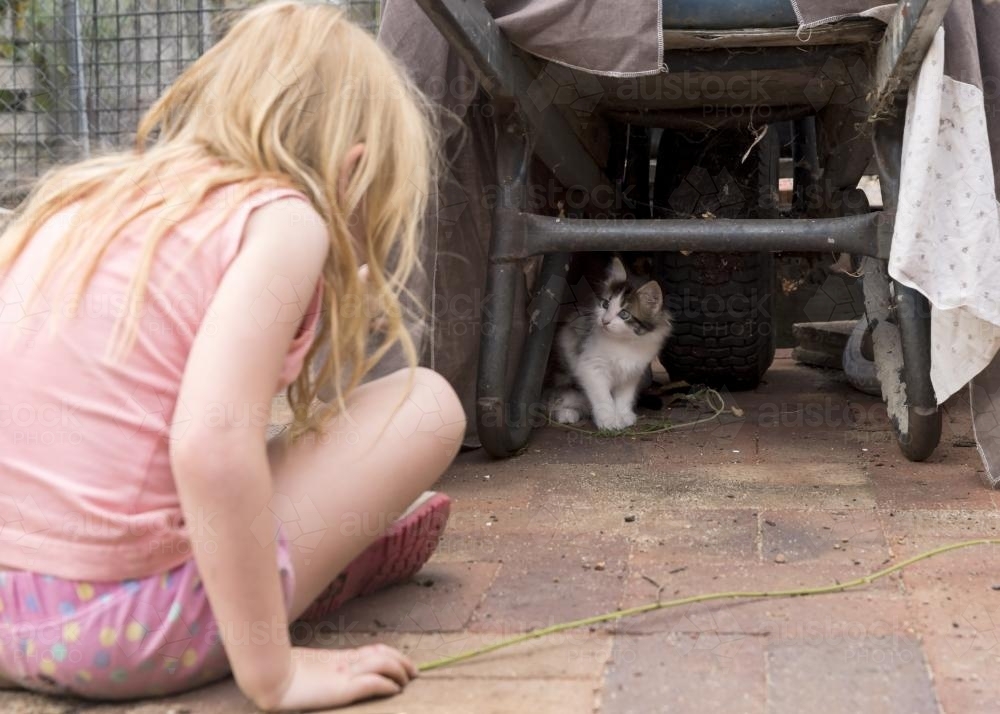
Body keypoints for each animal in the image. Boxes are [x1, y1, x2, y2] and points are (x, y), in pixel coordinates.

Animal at [548, 258, 672, 432]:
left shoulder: (633, 371)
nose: (604, 321)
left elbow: (625, 397)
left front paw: (623, 415)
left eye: (624, 314)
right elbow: (603, 397)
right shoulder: (591, 367)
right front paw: (608, 420)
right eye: (605, 304)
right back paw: (567, 413)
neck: (624, 342)